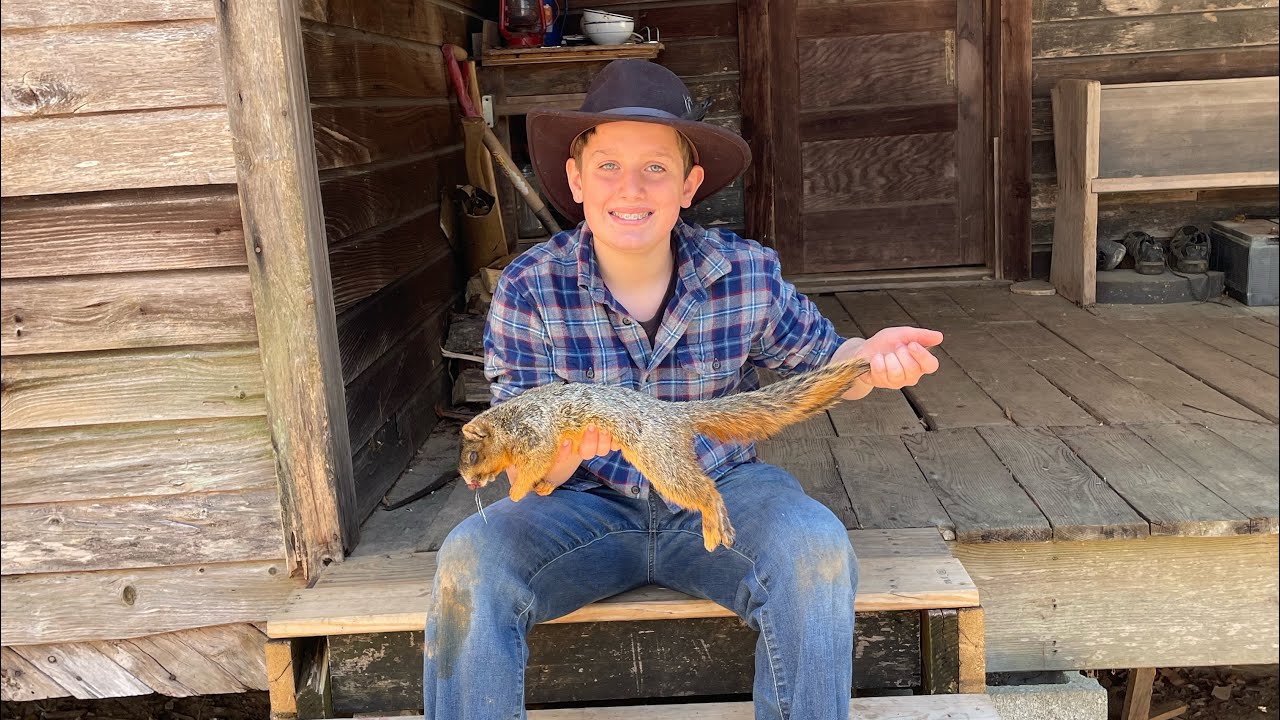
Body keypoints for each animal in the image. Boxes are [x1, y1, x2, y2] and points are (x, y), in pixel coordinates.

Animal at [457, 356, 872, 552]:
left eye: (472, 457)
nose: (469, 484)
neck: (507, 420)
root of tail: (672, 415)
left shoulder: (535, 433)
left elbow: (533, 463)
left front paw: (517, 490)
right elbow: (547, 469)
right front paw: (543, 487)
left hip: (661, 461)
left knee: (706, 491)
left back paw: (714, 524)